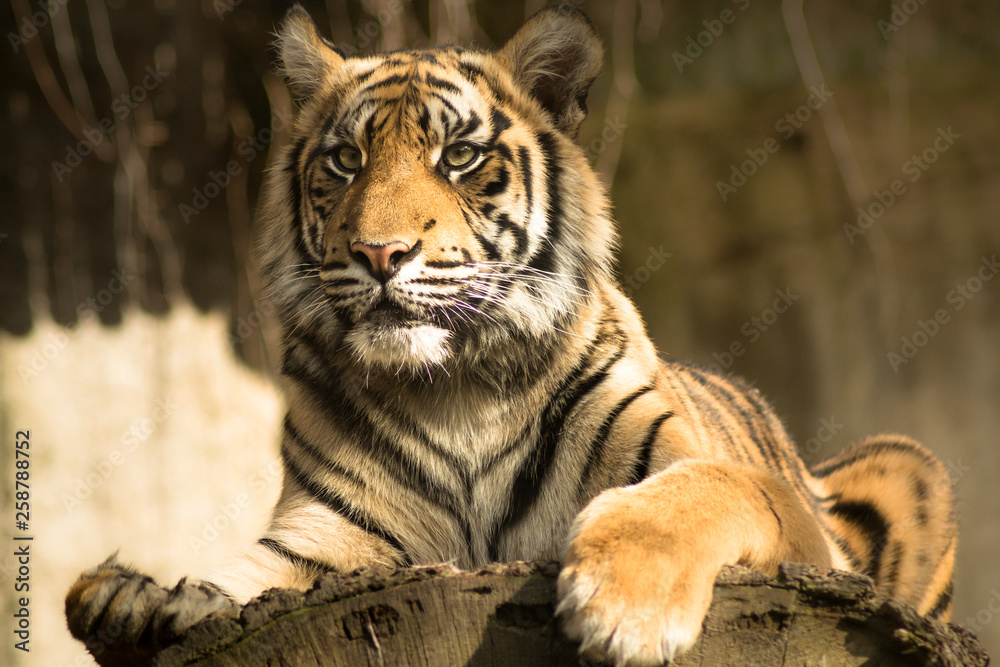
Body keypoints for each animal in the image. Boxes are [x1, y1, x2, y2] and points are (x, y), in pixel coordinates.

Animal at [66, 5, 959, 666]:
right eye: (346, 160)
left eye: (459, 155)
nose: (379, 252)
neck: (454, 389)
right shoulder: (324, 544)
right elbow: (241, 579)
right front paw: (134, 596)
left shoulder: (768, 506)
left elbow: (698, 490)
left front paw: (623, 607)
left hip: (909, 462)